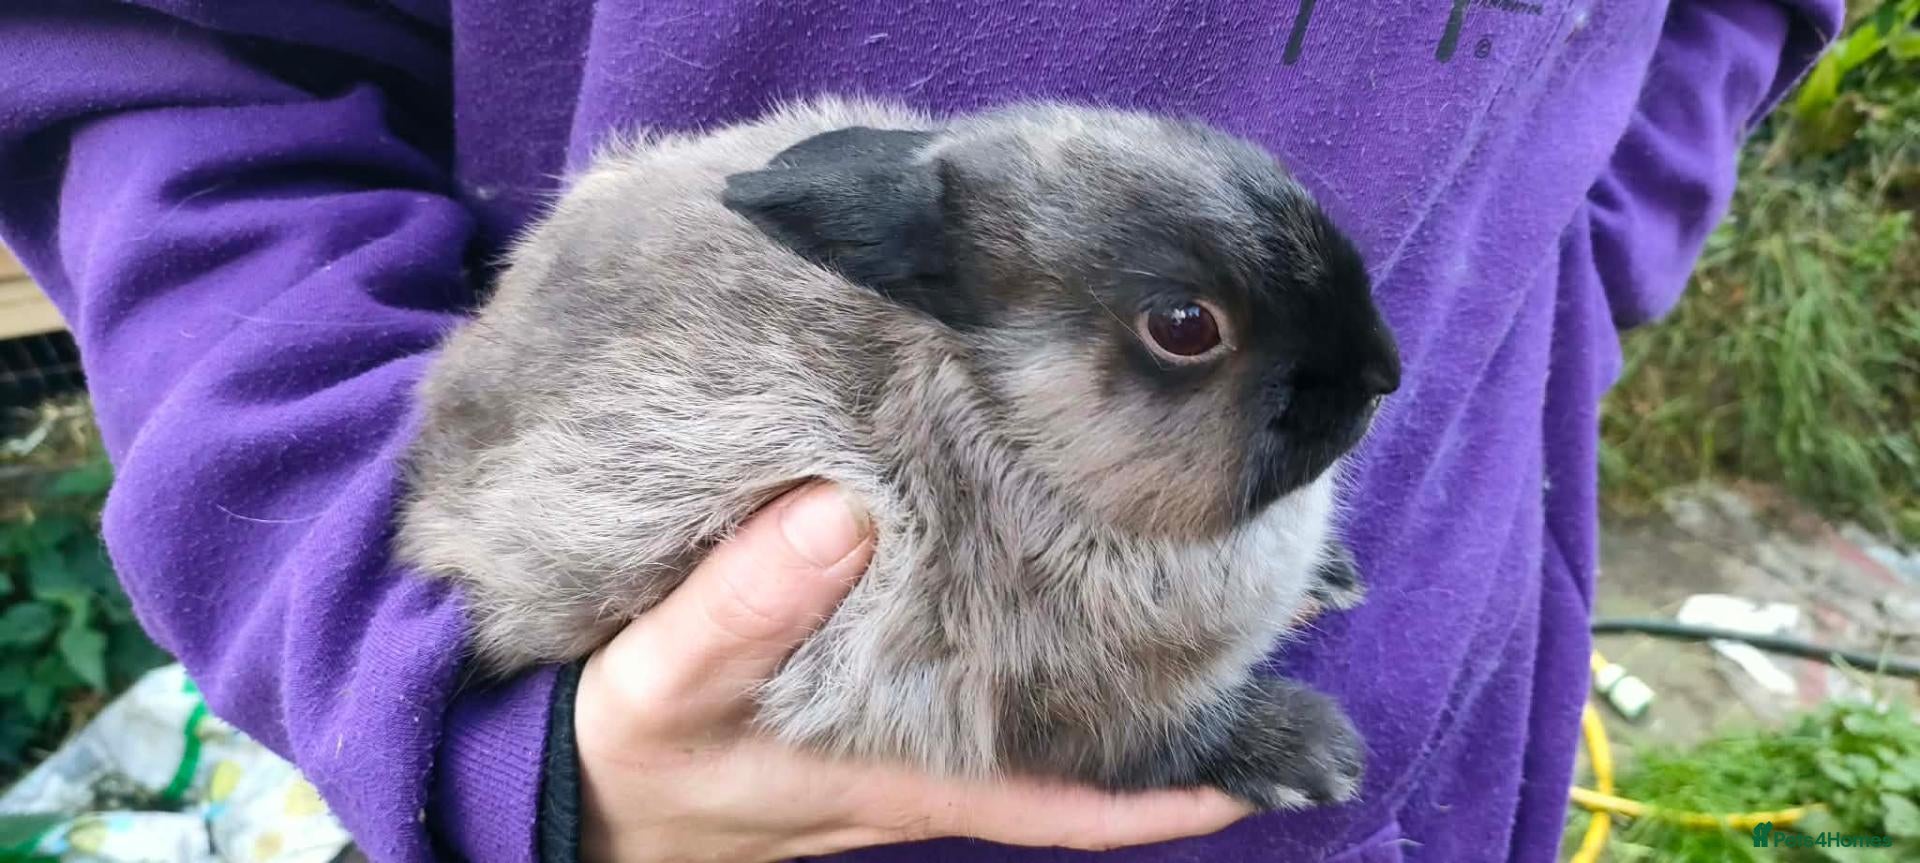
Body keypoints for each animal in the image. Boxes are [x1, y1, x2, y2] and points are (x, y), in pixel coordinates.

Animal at [396, 95, 1401, 810]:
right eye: (1185, 325)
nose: (1382, 375)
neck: (1010, 427)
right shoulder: (1059, 704)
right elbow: (1159, 744)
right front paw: (1316, 754)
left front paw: (1333, 577)